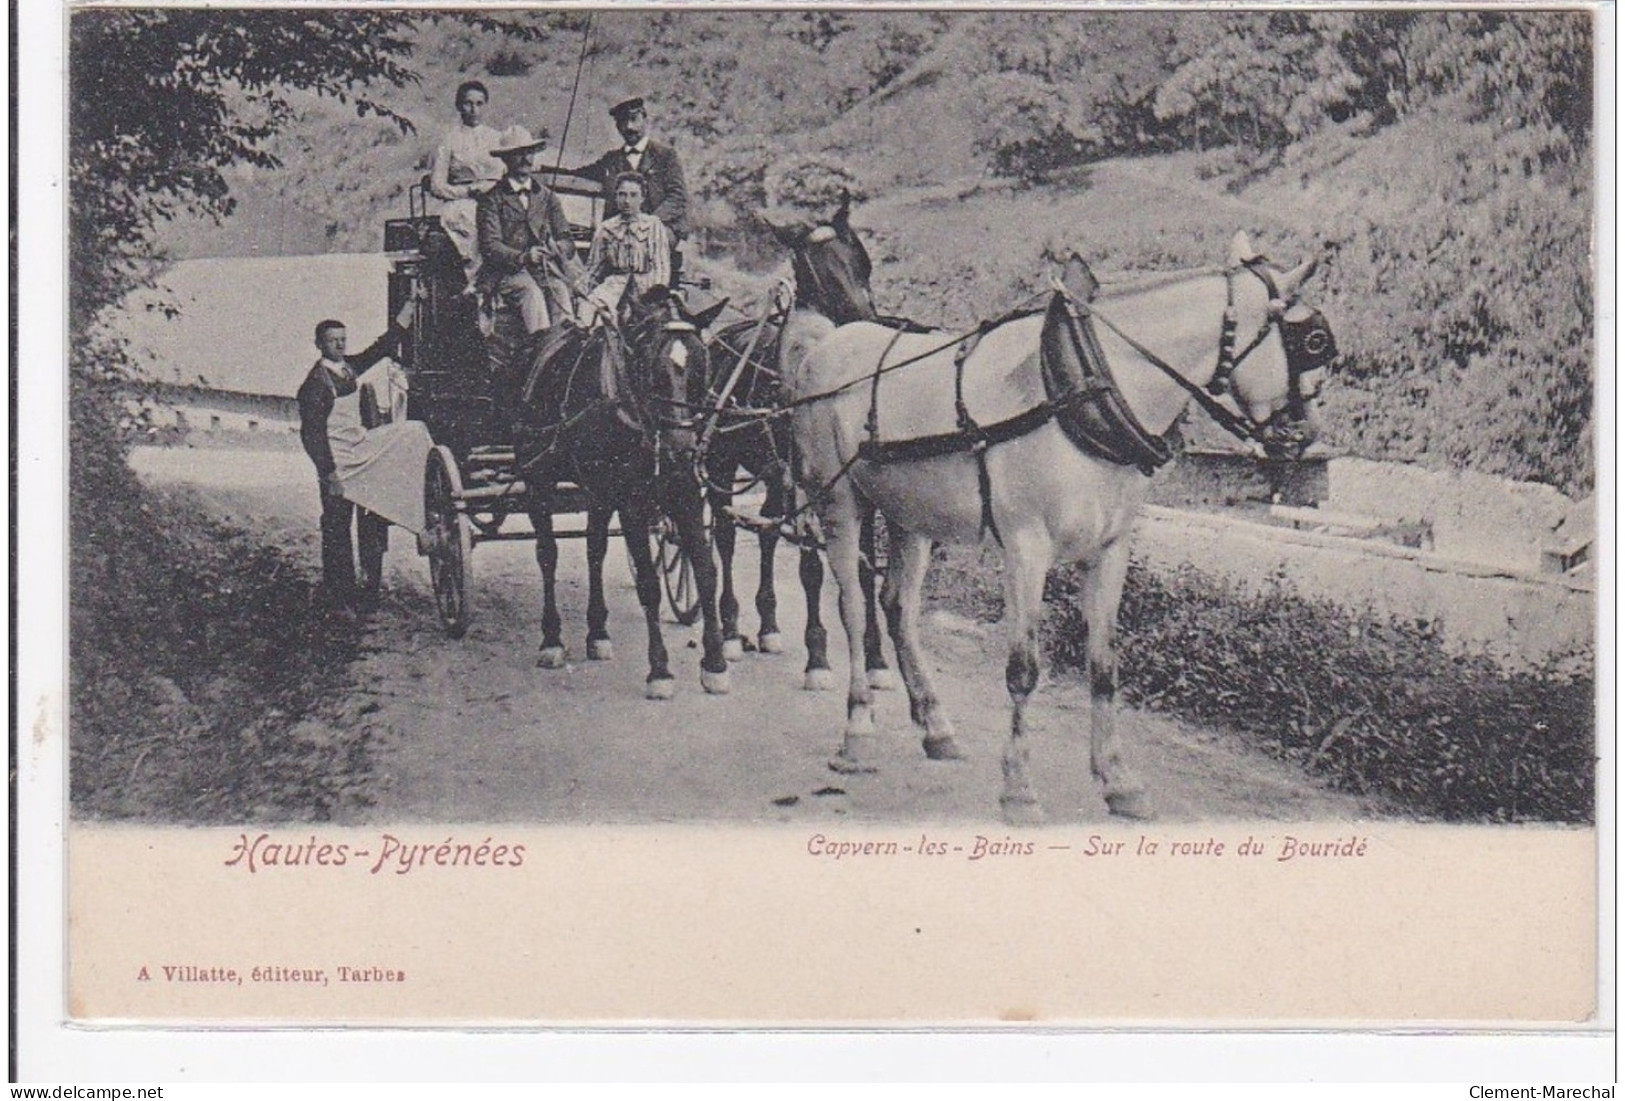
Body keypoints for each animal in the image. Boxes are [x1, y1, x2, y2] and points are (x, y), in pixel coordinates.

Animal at [783, 228, 1332, 824]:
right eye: (1313, 342)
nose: (1306, 437)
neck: (1085, 387)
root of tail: (826, 346)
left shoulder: (1110, 550)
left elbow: (1104, 665)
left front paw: (1118, 779)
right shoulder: (1026, 549)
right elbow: (1023, 669)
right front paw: (1019, 789)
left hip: (911, 515)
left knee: (898, 607)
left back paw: (936, 726)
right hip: (840, 503)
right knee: (853, 608)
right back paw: (857, 732)